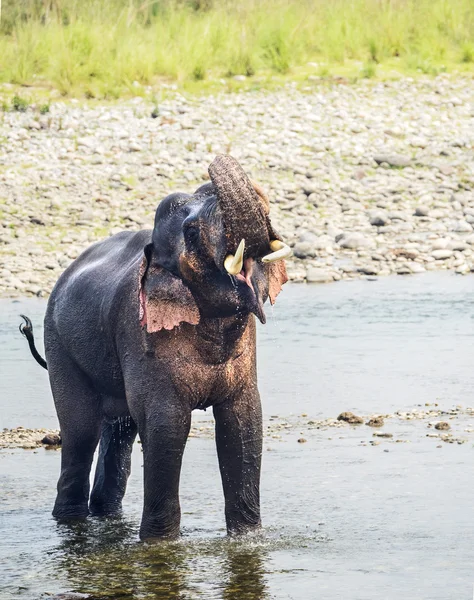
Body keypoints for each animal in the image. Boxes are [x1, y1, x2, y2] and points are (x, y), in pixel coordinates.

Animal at [20, 155, 288, 540]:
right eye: (191, 233)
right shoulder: (141, 336)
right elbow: (167, 425)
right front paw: (160, 542)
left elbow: (243, 422)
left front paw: (248, 538)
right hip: (58, 344)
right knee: (80, 431)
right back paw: (70, 522)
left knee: (119, 433)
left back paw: (106, 515)